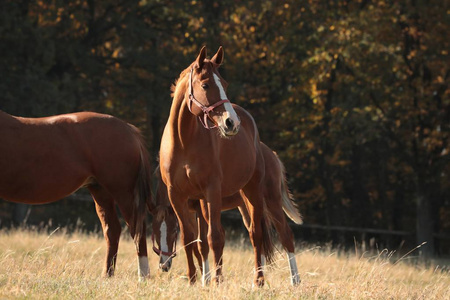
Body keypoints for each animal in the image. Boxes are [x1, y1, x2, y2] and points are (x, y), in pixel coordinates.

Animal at [0, 110, 152, 282]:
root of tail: (129, 129)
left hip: (123, 191)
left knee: (137, 229)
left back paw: (143, 277)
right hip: (100, 190)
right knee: (112, 230)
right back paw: (107, 275)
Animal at [153, 141, 304, 286]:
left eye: (173, 231)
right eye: (155, 233)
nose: (164, 265)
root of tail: (272, 155)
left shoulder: (202, 209)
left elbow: (203, 244)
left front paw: (206, 279)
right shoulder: (187, 211)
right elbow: (193, 242)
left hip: (272, 201)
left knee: (285, 235)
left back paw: (295, 280)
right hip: (247, 207)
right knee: (257, 237)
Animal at [160, 46, 276, 286]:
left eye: (225, 83)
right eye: (205, 85)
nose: (231, 123)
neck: (183, 141)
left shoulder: (211, 191)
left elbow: (214, 237)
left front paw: (216, 281)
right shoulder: (177, 195)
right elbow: (189, 238)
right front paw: (193, 278)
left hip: (252, 193)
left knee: (255, 234)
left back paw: (258, 280)